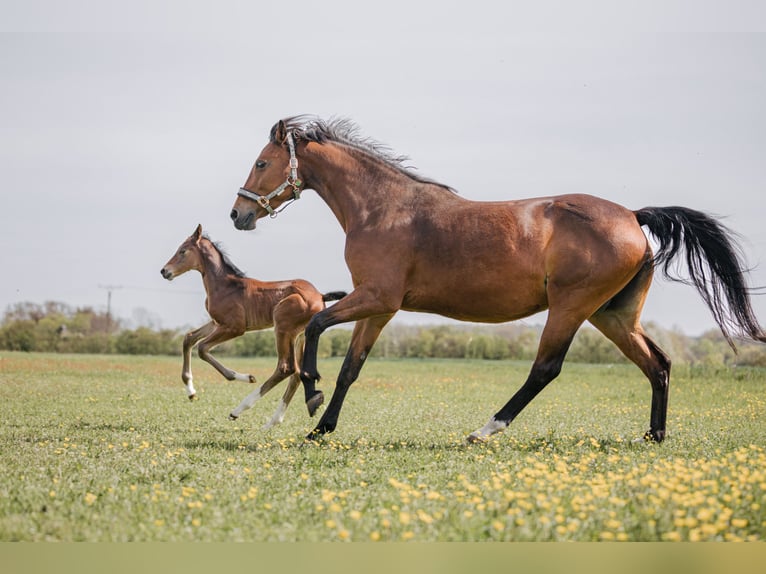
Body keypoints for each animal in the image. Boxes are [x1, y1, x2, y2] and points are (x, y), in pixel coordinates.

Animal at [160, 224, 346, 428]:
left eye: (183, 251)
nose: (164, 271)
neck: (225, 286)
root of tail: (320, 296)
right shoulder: (217, 323)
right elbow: (189, 338)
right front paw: (191, 392)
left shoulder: (234, 327)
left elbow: (202, 348)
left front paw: (245, 377)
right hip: (300, 335)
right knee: (297, 373)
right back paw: (273, 421)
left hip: (283, 328)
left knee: (286, 368)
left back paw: (239, 410)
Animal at [230, 115, 766, 444]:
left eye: (261, 162)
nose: (238, 214)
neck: (384, 208)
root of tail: (633, 217)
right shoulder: (378, 309)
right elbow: (351, 368)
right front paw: (321, 426)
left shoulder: (376, 297)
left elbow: (317, 326)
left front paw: (312, 395)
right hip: (612, 315)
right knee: (658, 363)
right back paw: (653, 435)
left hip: (571, 308)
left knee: (546, 369)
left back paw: (486, 428)